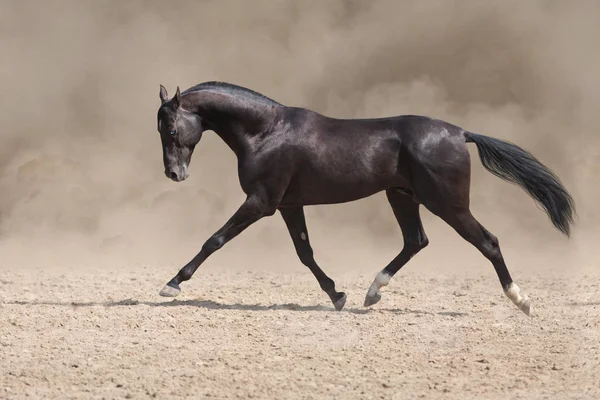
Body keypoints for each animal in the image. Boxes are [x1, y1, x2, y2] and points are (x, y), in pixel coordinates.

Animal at [154, 81, 572, 316]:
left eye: (171, 129)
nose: (174, 174)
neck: (266, 132)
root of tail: (460, 132)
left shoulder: (261, 202)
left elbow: (215, 239)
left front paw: (172, 283)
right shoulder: (288, 205)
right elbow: (305, 253)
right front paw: (338, 295)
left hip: (448, 204)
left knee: (488, 242)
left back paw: (521, 300)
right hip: (402, 196)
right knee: (416, 241)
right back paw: (372, 293)